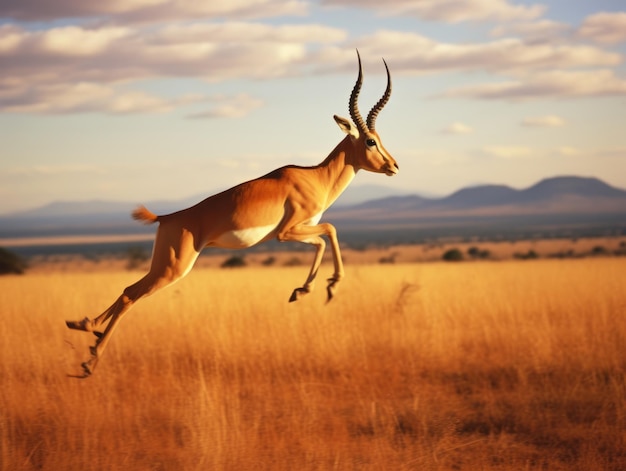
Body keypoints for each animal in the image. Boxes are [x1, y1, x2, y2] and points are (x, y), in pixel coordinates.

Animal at [66, 50, 398, 376]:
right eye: (370, 141)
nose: (393, 166)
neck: (315, 177)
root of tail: (166, 217)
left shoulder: (298, 231)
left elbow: (320, 241)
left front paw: (302, 291)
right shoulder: (286, 232)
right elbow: (331, 230)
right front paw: (329, 287)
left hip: (165, 264)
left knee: (127, 289)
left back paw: (84, 326)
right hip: (174, 267)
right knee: (130, 295)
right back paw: (89, 360)